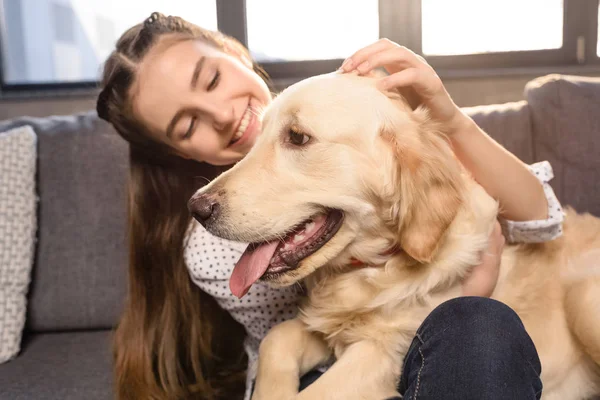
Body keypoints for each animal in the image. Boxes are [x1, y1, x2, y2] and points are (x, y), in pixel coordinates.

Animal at [189, 72, 600, 400]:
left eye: (298, 137)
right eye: (256, 138)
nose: (197, 207)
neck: (370, 267)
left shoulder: (383, 353)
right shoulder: (324, 329)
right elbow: (276, 339)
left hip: (583, 300)